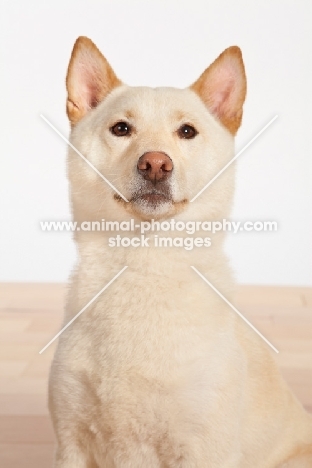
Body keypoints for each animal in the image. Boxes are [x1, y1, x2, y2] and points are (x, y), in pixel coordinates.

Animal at [48, 34, 312, 466]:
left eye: (187, 131)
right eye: (121, 128)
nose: (155, 164)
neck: (146, 264)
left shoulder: (203, 449)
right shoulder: (71, 444)